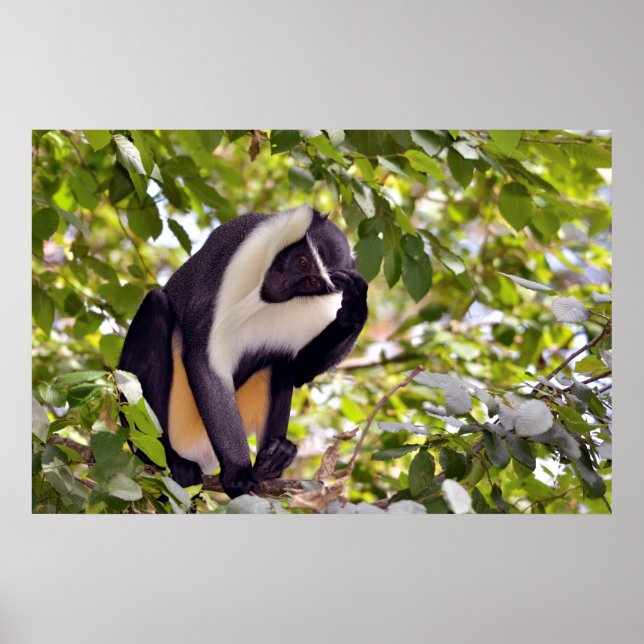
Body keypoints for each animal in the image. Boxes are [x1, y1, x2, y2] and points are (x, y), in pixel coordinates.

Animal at [118, 205, 368, 498]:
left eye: (312, 282)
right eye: (302, 262)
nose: (284, 285)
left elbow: (299, 372)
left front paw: (353, 312)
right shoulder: (240, 251)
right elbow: (205, 358)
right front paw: (237, 471)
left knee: (280, 361)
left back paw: (271, 464)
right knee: (156, 303)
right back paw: (168, 458)